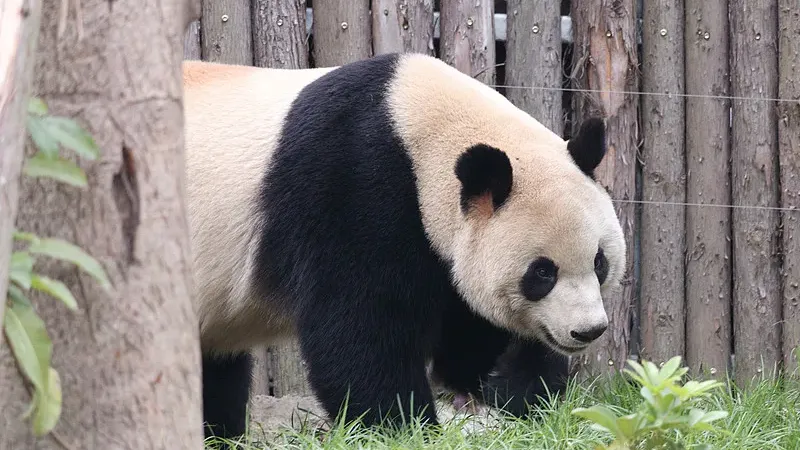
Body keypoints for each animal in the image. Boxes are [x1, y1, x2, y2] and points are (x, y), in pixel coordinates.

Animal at [182, 52, 626, 440]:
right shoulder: (350, 186)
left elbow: (473, 329)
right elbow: (360, 326)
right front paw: (406, 427)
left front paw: (523, 397)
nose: (588, 330)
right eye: (542, 272)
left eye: (599, 262)